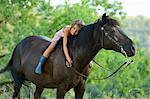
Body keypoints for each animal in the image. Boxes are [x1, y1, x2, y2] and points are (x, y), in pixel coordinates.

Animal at [0, 13, 135, 98]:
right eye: (113, 30)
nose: (133, 48)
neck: (75, 58)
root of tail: (19, 45)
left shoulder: (81, 88)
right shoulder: (61, 89)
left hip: (39, 84)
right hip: (18, 80)